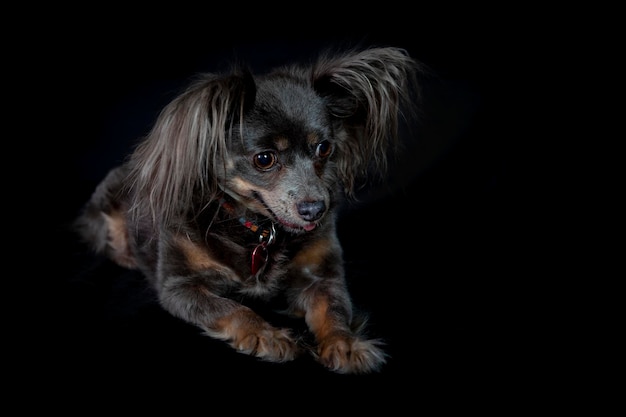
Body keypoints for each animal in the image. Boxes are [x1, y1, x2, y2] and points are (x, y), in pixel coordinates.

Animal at [75, 46, 422, 374]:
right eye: (264, 159)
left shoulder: (322, 277)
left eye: (324, 149)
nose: (315, 209)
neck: (259, 228)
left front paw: (345, 345)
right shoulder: (179, 287)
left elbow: (335, 309)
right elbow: (231, 308)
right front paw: (265, 335)